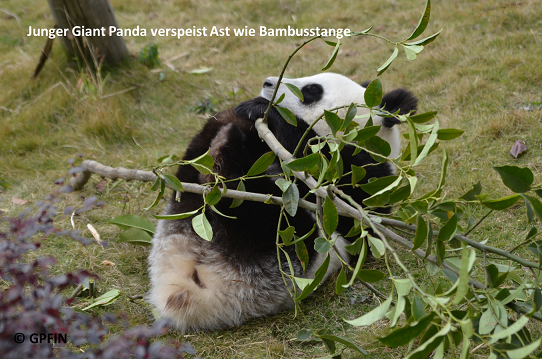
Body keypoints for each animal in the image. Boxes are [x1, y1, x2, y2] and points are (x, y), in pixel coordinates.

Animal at [147, 74, 418, 334]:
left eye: (312, 90)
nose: (268, 83)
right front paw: (248, 110)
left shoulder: (370, 179)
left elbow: (333, 187)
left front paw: (261, 109)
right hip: (185, 213)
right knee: (196, 164)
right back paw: (226, 134)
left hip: (279, 256)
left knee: (256, 217)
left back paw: (227, 155)